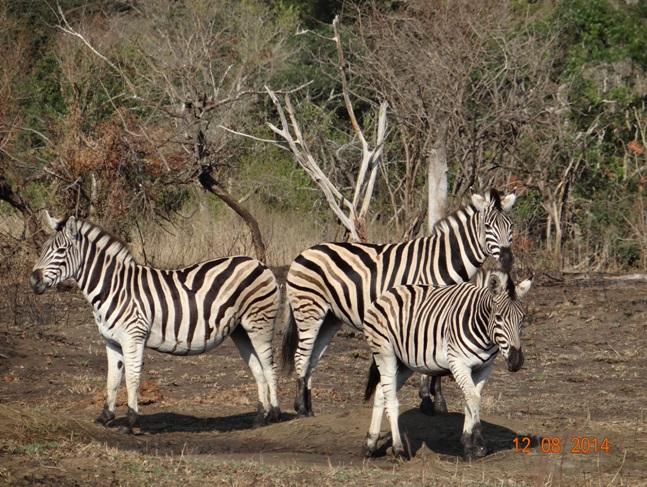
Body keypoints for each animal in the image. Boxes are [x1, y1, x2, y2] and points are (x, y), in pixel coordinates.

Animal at [29, 214, 280, 434]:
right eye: (43, 249)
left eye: (61, 251)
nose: (33, 281)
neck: (113, 286)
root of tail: (259, 263)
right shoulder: (111, 341)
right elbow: (112, 379)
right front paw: (104, 417)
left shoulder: (133, 337)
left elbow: (131, 380)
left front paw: (129, 423)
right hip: (241, 331)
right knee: (258, 369)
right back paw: (260, 418)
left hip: (260, 324)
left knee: (270, 367)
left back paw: (275, 415)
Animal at [282, 189, 516, 418]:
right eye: (488, 226)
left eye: (511, 226)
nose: (507, 260)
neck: (441, 261)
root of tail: (304, 253)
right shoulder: (423, 311)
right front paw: (426, 401)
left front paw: (439, 401)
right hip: (309, 309)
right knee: (301, 354)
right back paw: (300, 408)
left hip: (330, 317)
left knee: (312, 357)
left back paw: (309, 408)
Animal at [362, 270, 536, 462]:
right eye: (498, 318)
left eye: (522, 318)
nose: (516, 361)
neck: (483, 331)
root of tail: (388, 293)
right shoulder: (458, 363)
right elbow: (473, 398)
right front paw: (476, 445)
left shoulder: (484, 368)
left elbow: (471, 398)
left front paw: (469, 441)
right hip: (385, 353)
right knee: (391, 401)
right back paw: (398, 450)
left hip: (405, 362)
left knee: (381, 391)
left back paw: (370, 444)